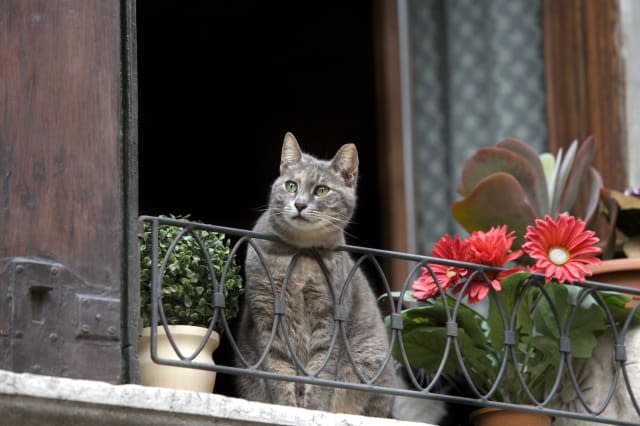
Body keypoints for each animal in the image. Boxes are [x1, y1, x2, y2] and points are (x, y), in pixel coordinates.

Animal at [232, 132, 398, 416]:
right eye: (291, 186)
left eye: (322, 190)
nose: (299, 204)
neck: (301, 260)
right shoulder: (268, 315)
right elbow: (278, 371)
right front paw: (288, 408)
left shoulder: (328, 318)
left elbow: (321, 374)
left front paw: (314, 410)